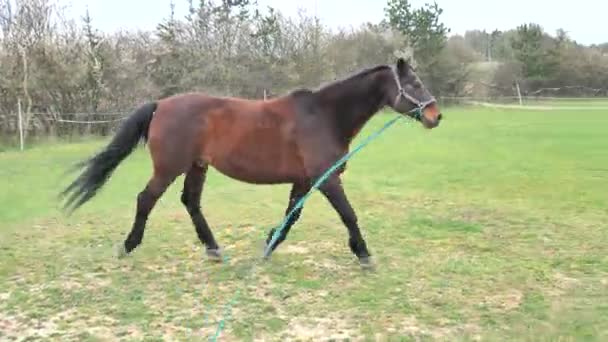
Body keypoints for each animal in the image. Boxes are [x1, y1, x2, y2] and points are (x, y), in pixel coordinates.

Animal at [60, 57, 442, 268]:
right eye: (414, 83)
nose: (436, 116)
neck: (323, 116)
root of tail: (161, 105)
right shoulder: (327, 179)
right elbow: (348, 214)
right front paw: (363, 254)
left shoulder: (305, 181)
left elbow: (292, 216)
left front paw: (269, 244)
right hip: (169, 168)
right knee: (146, 199)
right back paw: (128, 246)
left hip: (197, 166)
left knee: (190, 202)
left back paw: (213, 249)